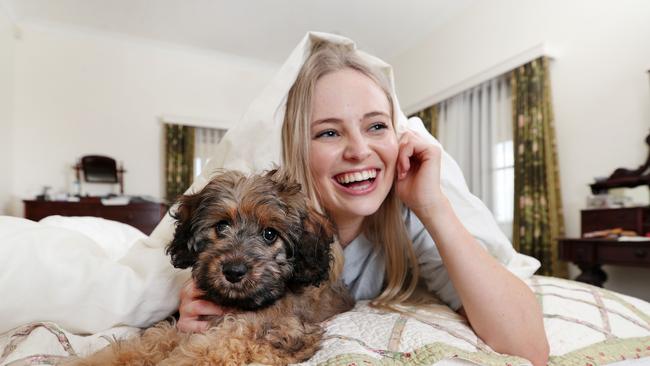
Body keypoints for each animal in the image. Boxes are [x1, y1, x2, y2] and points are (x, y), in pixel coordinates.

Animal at [67, 170, 352, 366]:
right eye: (221, 226)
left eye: (270, 234)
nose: (233, 271)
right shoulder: (188, 326)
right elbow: (148, 342)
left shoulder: (279, 333)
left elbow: (212, 348)